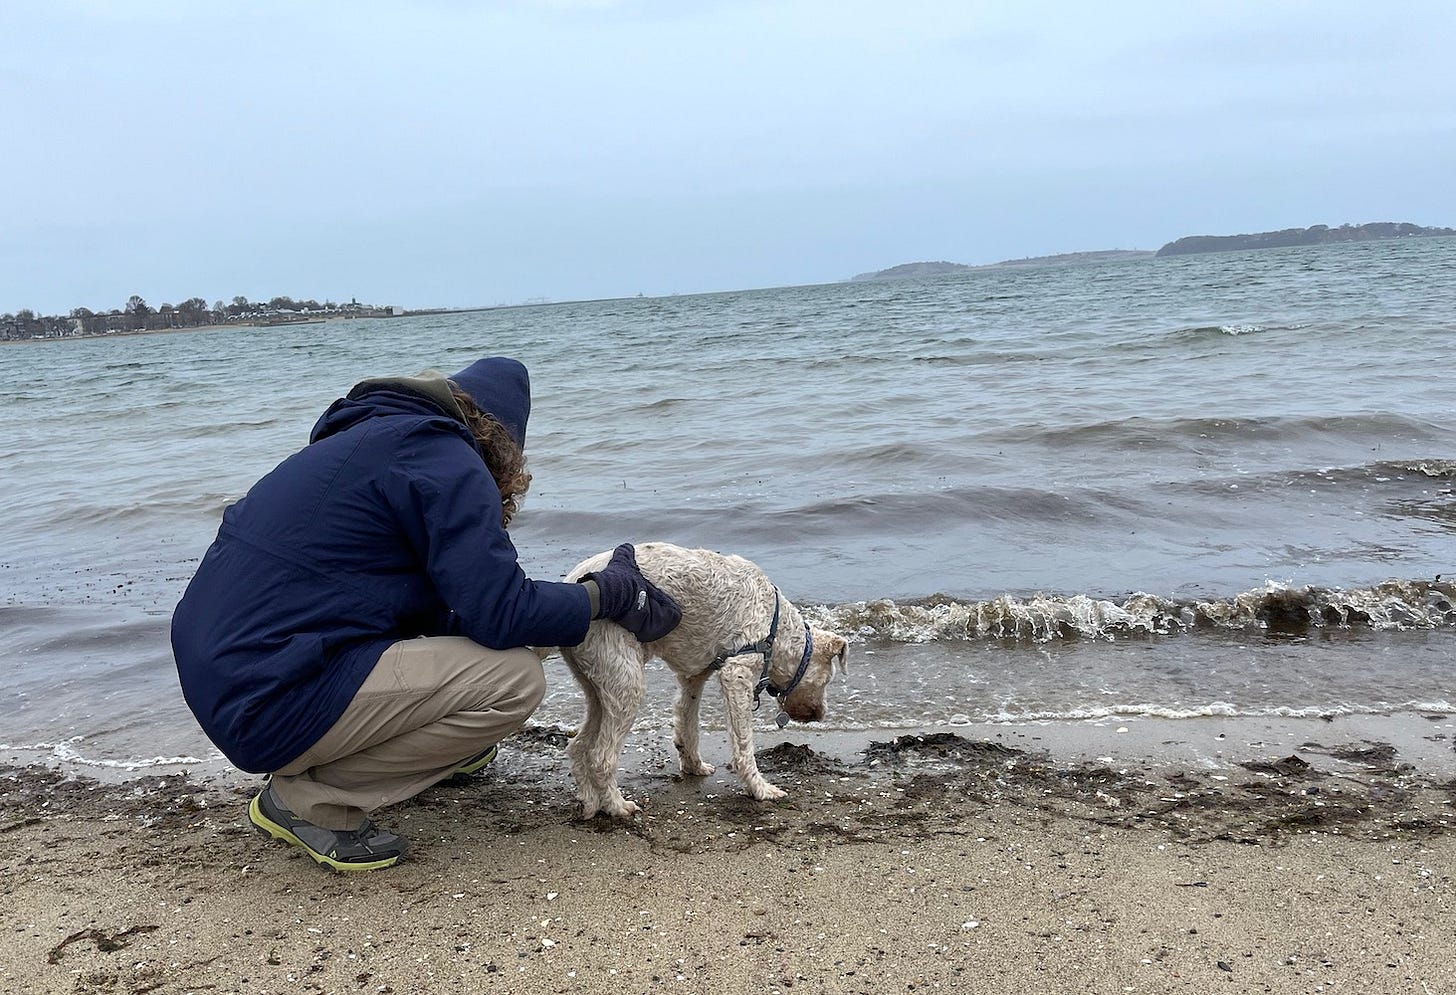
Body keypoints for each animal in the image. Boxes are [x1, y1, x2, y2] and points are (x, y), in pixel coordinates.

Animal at [559, 544, 850, 815]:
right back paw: (617, 806)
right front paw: (759, 789)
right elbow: (743, 744)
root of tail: (574, 584)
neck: (775, 628)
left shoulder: (693, 677)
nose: (820, 715)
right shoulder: (737, 675)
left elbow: (687, 723)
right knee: (601, 757)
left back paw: (590, 802)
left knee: (578, 747)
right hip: (626, 683)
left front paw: (693, 766)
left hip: (599, 688)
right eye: (827, 680)